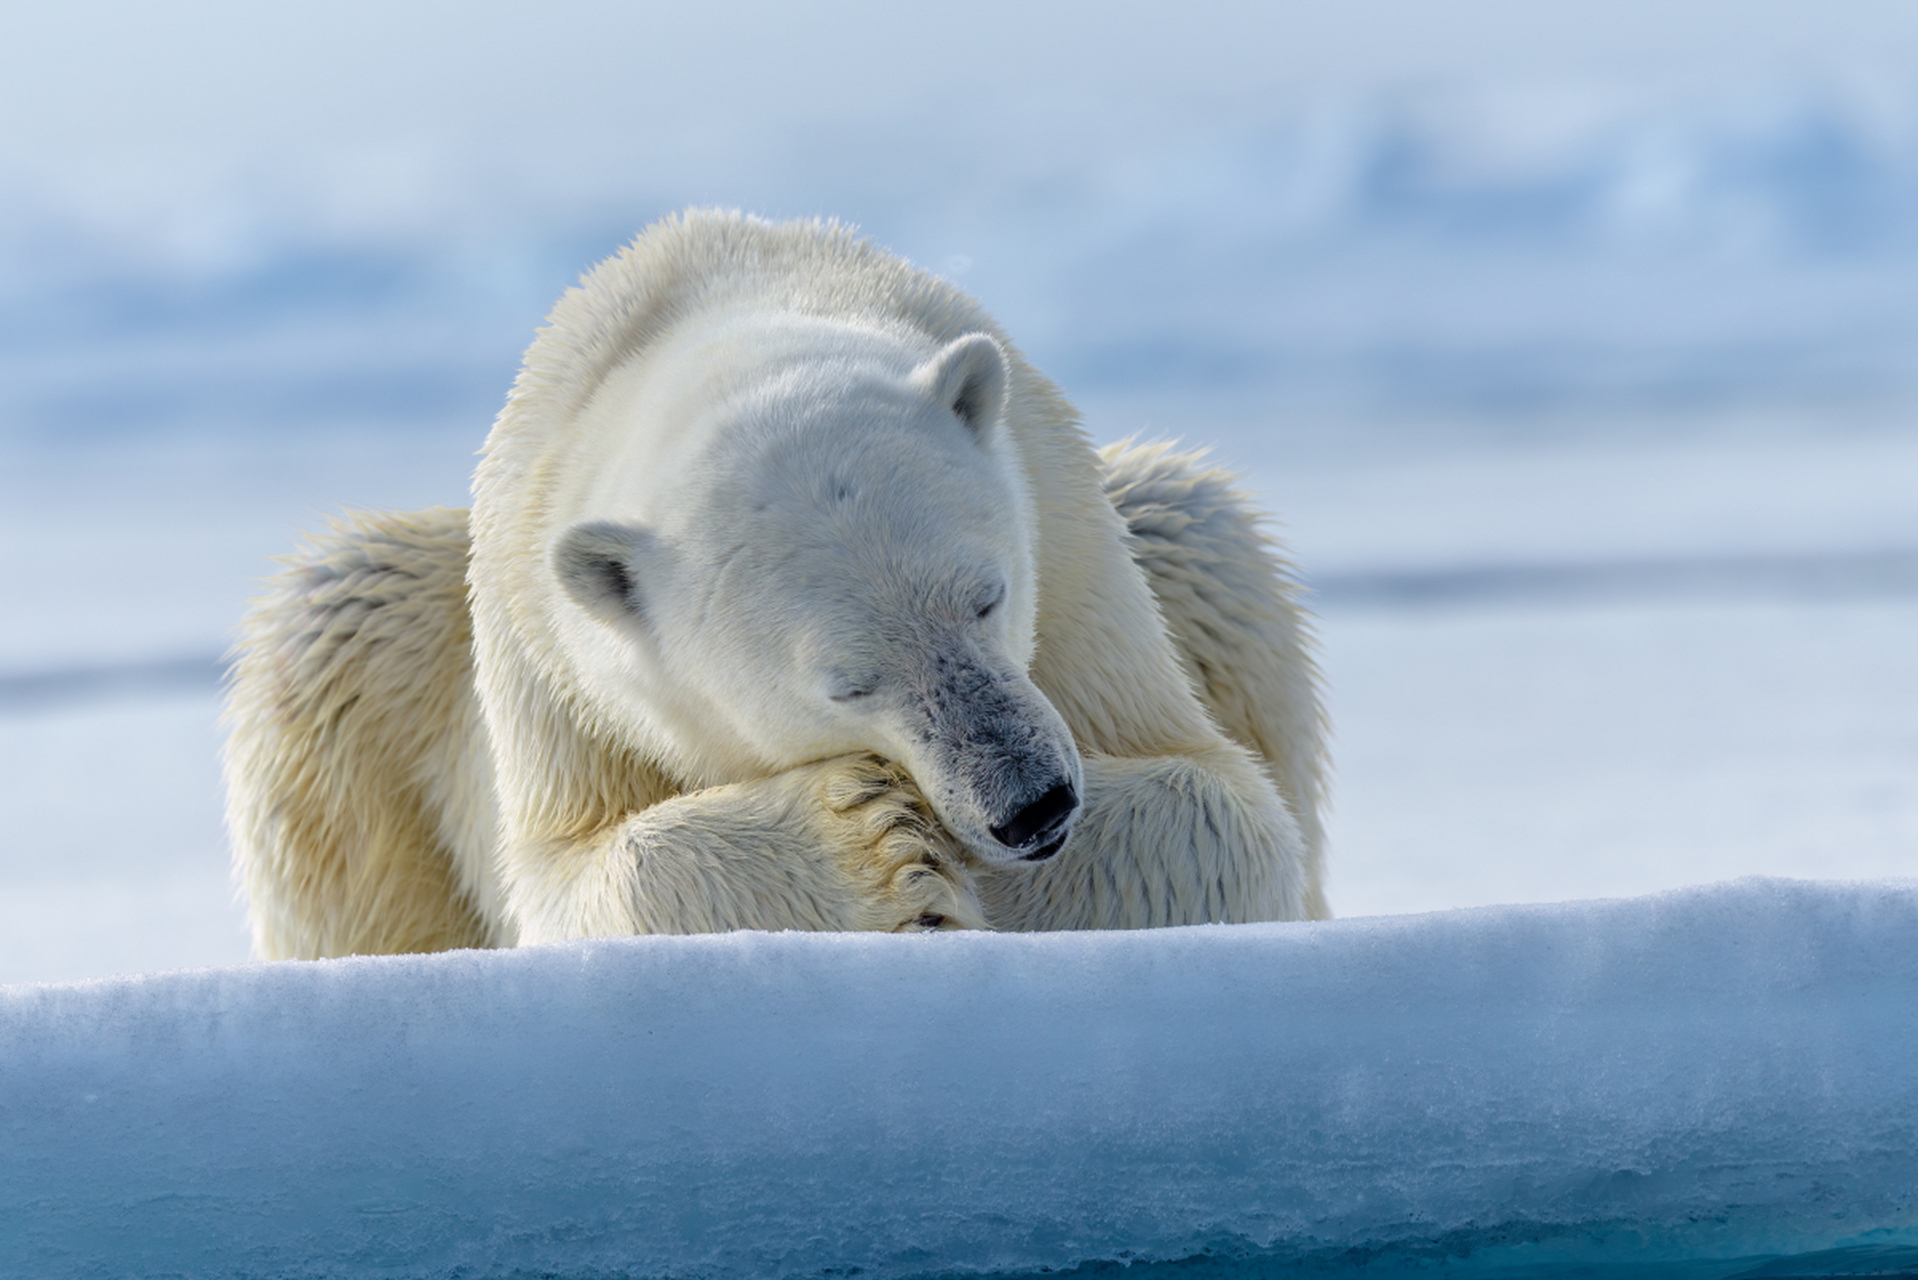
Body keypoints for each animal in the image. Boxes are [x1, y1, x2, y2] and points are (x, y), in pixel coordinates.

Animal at [224, 210, 1327, 955]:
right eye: (848, 682)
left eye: (989, 595)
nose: (1033, 804)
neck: (706, 311)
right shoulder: (554, 668)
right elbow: (575, 877)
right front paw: (890, 848)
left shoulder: (1070, 544)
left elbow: (1224, 804)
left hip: (1172, 541)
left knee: (1205, 529)